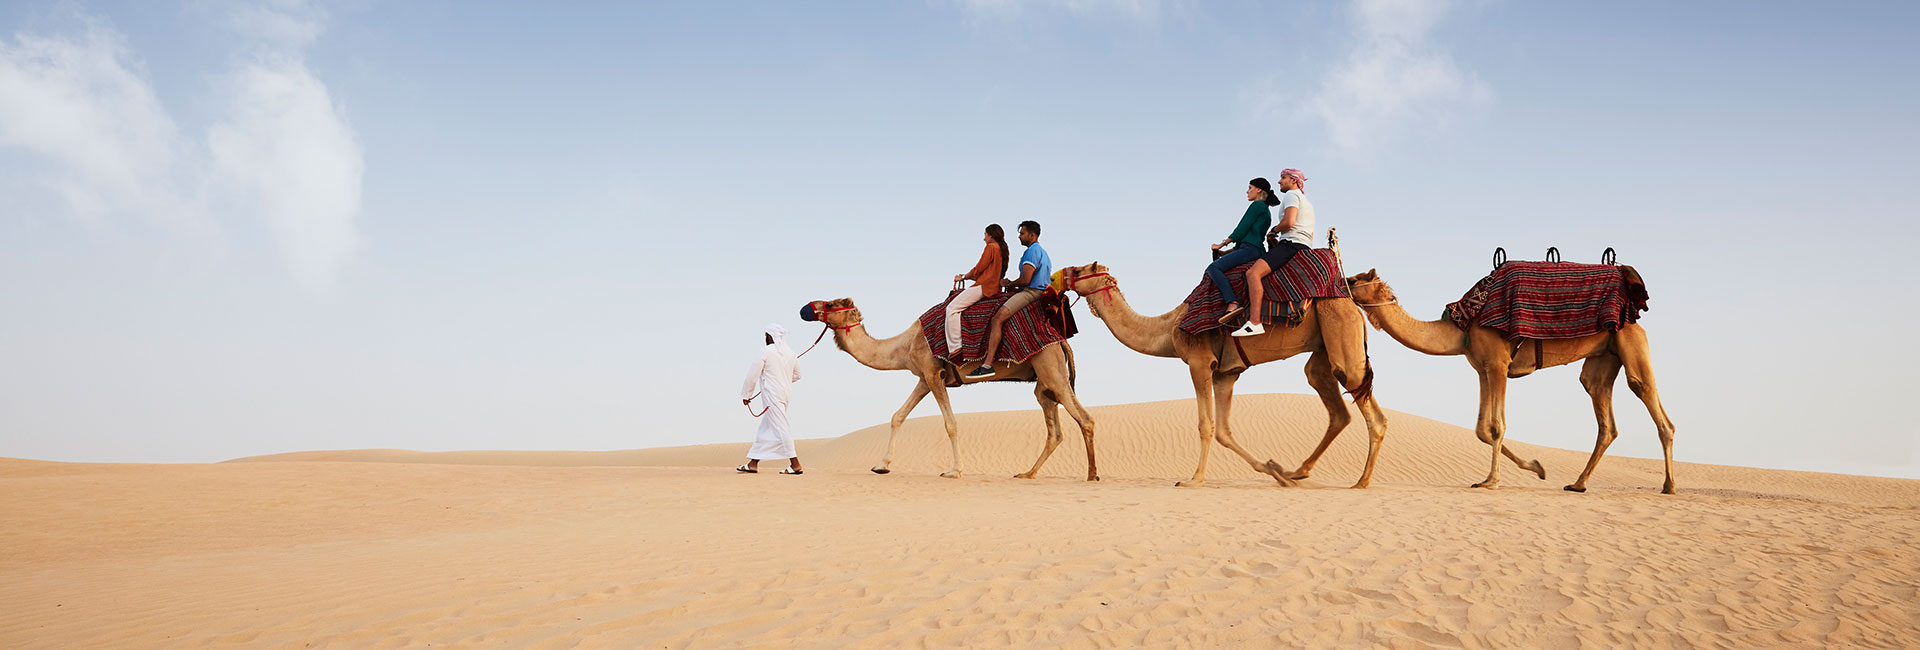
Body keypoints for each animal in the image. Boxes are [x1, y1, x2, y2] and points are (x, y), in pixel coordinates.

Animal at [798, 297, 1098, 481]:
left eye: (832, 303)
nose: (806, 308)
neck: (905, 345)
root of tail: (1060, 340)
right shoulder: (924, 378)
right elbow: (898, 416)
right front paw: (881, 466)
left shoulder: (934, 374)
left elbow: (950, 423)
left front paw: (954, 471)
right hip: (1044, 382)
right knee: (1054, 429)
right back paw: (1027, 473)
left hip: (1052, 370)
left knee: (1085, 418)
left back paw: (1092, 474)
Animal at [1059, 262, 1390, 487]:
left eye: (1078, 269)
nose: (1057, 276)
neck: (1168, 328)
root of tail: (1351, 304)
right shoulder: (1227, 374)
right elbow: (1224, 431)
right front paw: (1273, 470)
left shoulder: (1199, 362)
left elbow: (1206, 425)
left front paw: (1193, 480)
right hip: (1325, 347)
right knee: (1335, 405)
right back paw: (1298, 472)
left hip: (1342, 339)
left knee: (1371, 410)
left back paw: (1361, 482)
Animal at [1344, 270, 1674, 494]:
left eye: (1355, 279)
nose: (1341, 285)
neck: (1462, 329)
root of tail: (1633, 316)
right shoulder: (1482, 369)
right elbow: (1481, 429)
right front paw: (1536, 468)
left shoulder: (1498, 365)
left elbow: (1496, 425)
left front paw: (1492, 481)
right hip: (1603, 358)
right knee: (1603, 413)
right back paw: (1578, 484)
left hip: (1631, 344)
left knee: (1650, 400)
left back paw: (1668, 486)